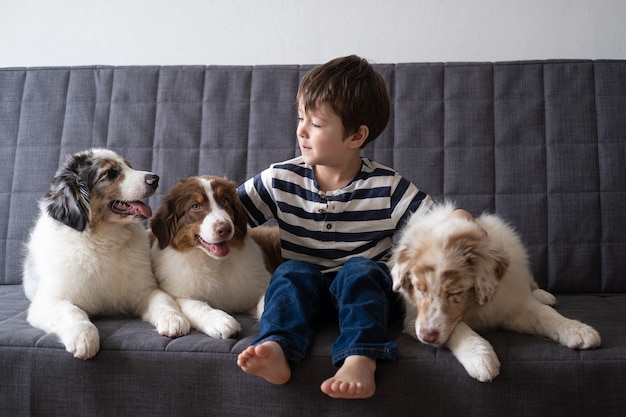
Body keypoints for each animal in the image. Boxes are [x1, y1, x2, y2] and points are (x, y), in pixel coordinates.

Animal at [22, 149, 190, 358]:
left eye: (130, 166)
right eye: (110, 173)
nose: (155, 178)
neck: (104, 240)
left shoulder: (144, 289)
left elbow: (162, 300)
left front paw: (174, 319)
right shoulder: (49, 300)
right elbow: (72, 312)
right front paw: (84, 338)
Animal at [150, 176, 280, 338]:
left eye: (225, 200)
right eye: (195, 206)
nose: (225, 228)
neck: (213, 261)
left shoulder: (261, 280)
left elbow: (269, 297)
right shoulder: (178, 291)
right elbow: (195, 304)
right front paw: (220, 321)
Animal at [390, 202, 600, 380]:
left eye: (455, 293)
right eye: (419, 289)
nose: (427, 337)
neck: (474, 307)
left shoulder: (508, 303)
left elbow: (543, 313)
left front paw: (578, 329)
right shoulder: (413, 320)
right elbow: (458, 327)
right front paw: (481, 357)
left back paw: (543, 295)